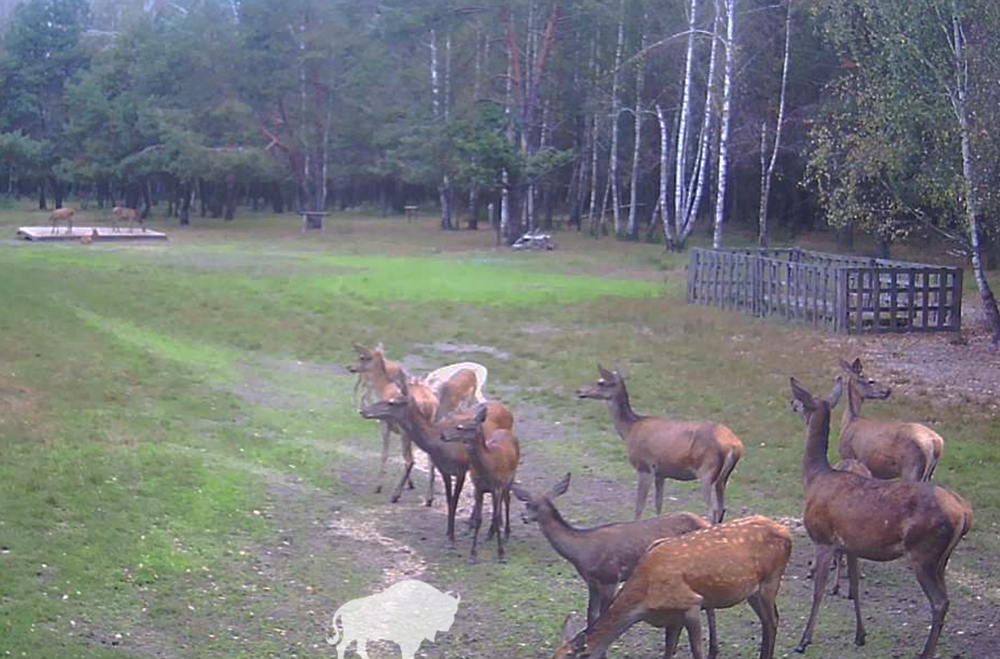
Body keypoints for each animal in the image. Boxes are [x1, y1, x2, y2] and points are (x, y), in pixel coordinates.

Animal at [446, 402, 524, 564]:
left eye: (460, 427)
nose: (442, 435)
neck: (488, 466)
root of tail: (508, 433)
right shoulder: (478, 488)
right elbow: (478, 519)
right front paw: (472, 554)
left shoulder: (497, 486)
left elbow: (496, 514)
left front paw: (501, 554)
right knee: (500, 505)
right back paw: (491, 533)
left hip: (511, 476)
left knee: (506, 501)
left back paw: (506, 533)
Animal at [512, 474, 716, 644]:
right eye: (526, 502)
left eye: (533, 504)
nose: (523, 517)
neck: (583, 552)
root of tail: (706, 523)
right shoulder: (592, 581)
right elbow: (591, 615)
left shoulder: (611, 577)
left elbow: (603, 616)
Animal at [552, 516, 792, 659]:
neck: (645, 599)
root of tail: (786, 532)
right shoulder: (672, 617)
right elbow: (668, 650)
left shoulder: (691, 604)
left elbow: (696, 651)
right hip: (753, 591)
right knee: (768, 620)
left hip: (771, 580)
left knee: (773, 620)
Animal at [580, 364, 744, 524]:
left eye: (601, 382)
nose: (579, 391)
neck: (630, 429)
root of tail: (735, 445)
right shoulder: (661, 472)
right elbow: (658, 504)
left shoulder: (644, 466)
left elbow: (639, 506)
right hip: (722, 478)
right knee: (722, 508)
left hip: (707, 471)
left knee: (713, 510)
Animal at [788, 376, 968, 659]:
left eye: (806, 401)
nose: (792, 403)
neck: (815, 478)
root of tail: (963, 513)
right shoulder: (850, 545)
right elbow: (855, 588)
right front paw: (860, 635)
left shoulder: (824, 539)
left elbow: (818, 592)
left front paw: (804, 640)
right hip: (941, 558)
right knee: (945, 599)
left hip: (924, 551)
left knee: (940, 602)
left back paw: (925, 652)